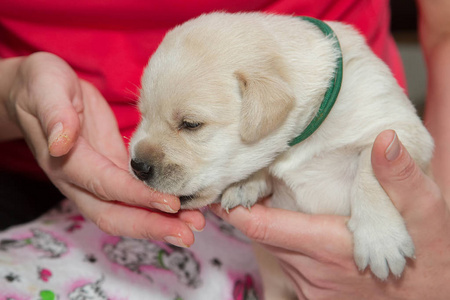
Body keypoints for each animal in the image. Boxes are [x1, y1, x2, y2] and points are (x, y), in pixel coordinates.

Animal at [128, 11, 434, 298]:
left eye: (191, 124)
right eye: (143, 114)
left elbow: (370, 168)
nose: (137, 166)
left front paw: (379, 239)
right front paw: (246, 184)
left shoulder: (399, 128)